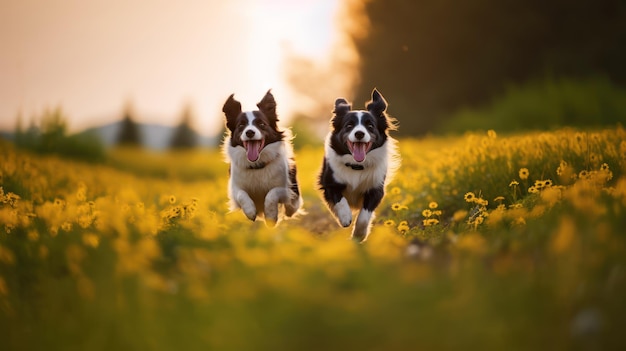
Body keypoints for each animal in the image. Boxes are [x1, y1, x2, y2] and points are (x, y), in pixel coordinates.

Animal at [222, 91, 302, 227]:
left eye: (261, 124)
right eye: (241, 125)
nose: (249, 132)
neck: (257, 165)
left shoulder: (284, 188)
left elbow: (272, 194)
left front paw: (270, 216)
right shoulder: (234, 188)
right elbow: (241, 194)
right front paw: (250, 211)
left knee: (292, 206)